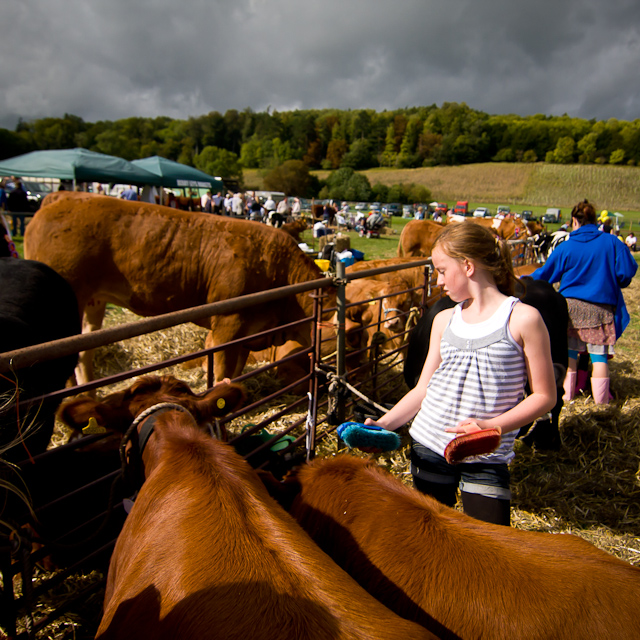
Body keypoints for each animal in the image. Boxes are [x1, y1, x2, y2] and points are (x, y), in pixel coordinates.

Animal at [22, 194, 332, 384]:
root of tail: (63, 197)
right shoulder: (228, 324)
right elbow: (221, 373)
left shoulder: (249, 334)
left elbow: (236, 372)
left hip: (92, 304)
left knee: (83, 355)